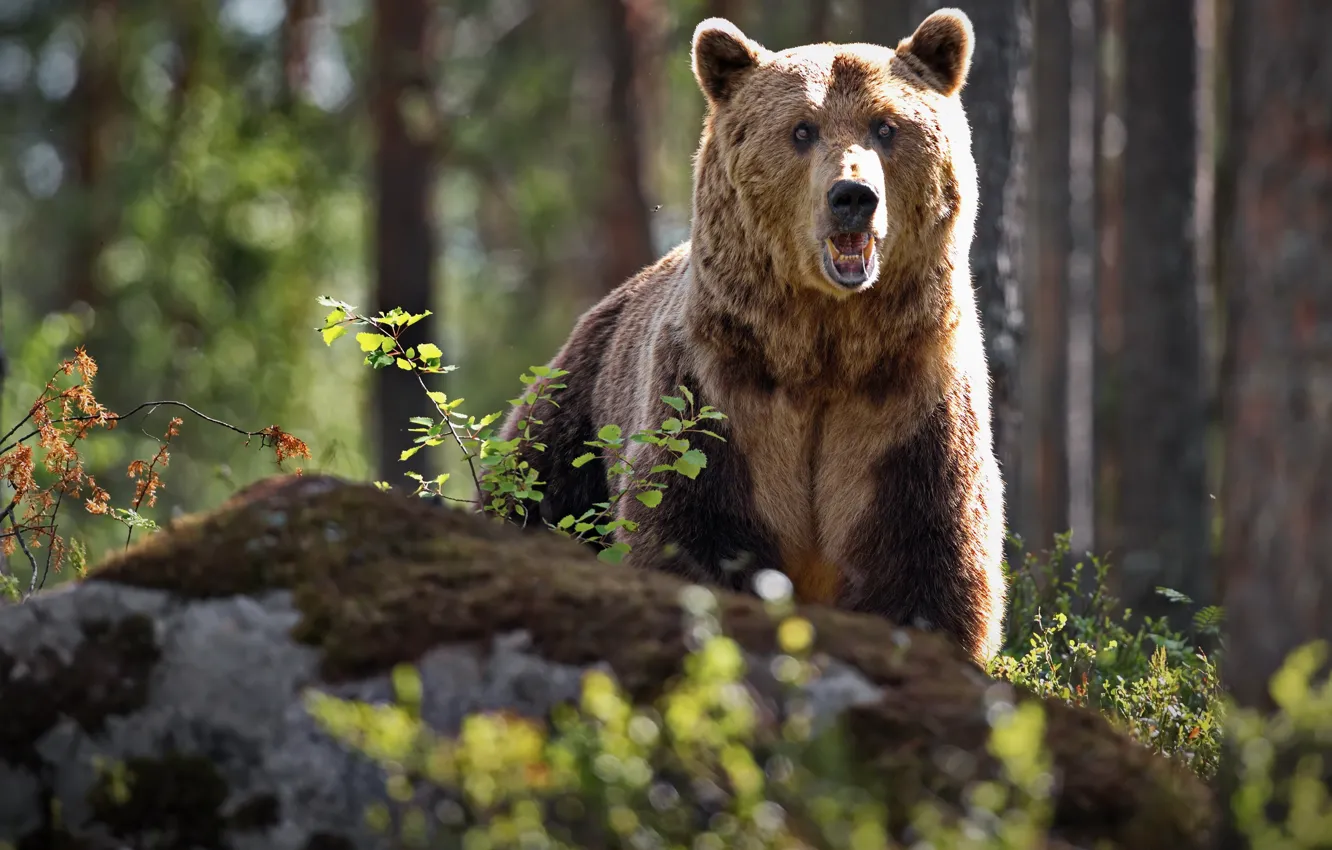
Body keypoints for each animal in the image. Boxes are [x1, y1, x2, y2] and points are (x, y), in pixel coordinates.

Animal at [495, 9, 1001, 668]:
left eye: (886, 126)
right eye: (802, 129)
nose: (853, 197)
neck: (824, 347)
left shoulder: (905, 412)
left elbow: (925, 563)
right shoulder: (721, 397)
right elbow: (691, 532)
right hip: (571, 420)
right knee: (537, 496)